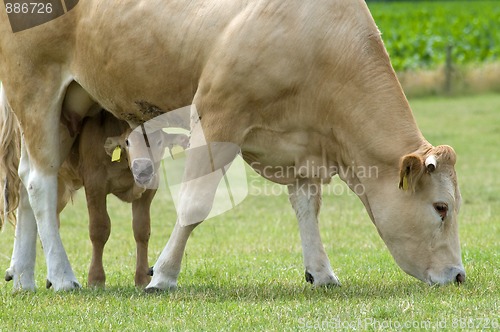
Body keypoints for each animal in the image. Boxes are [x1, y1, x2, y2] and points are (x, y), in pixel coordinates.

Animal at [0, 0, 464, 290]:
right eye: (441, 207)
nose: (459, 275)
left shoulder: (301, 145)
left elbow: (307, 207)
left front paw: (321, 273)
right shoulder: (217, 115)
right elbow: (194, 204)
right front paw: (162, 276)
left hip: (70, 107)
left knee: (26, 179)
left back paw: (24, 277)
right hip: (35, 88)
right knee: (41, 181)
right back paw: (62, 277)